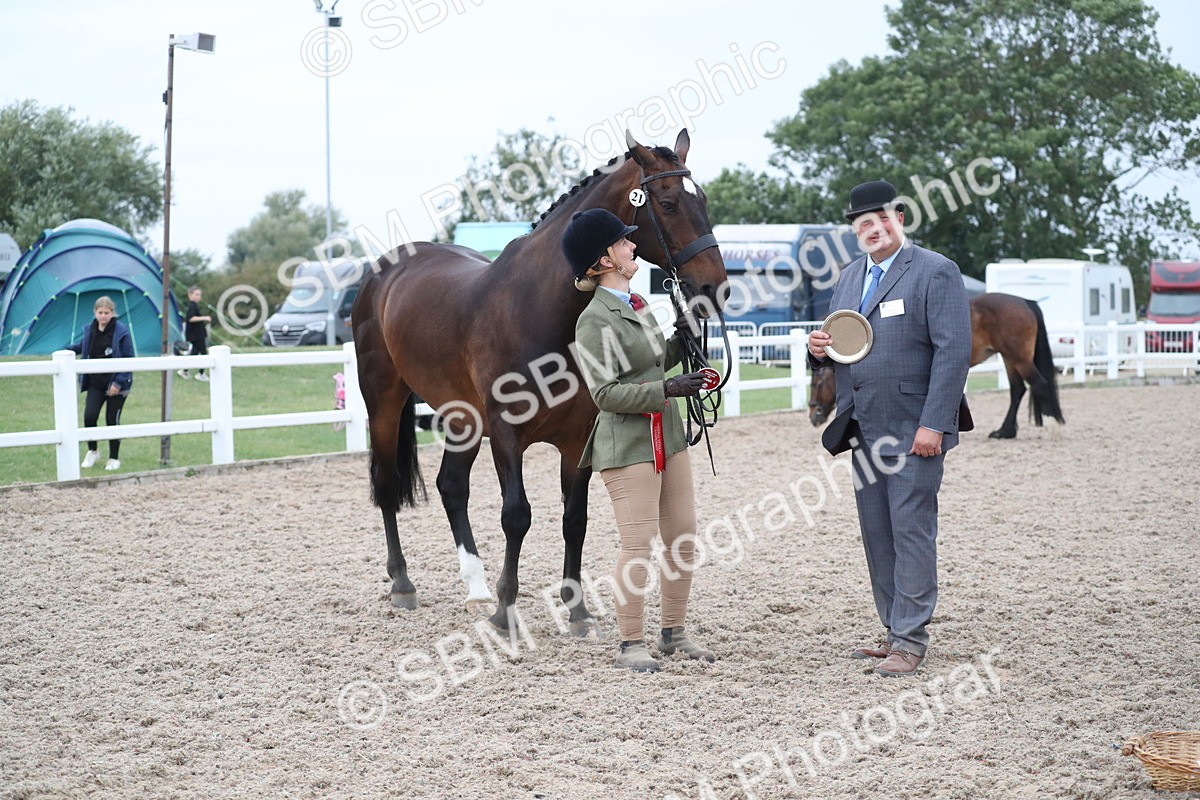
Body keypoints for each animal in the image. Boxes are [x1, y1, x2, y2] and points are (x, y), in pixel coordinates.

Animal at [352, 129, 729, 637]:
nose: (715, 288)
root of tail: (383, 270)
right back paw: (403, 583)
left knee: (452, 486)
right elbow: (517, 516)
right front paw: (505, 612)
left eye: (702, 200)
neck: (537, 308)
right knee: (388, 481)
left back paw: (475, 587)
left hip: (461, 418)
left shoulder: (577, 438)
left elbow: (575, 519)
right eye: (668, 204)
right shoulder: (506, 433)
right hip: (384, 400)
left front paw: (577, 611)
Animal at [808, 292, 1065, 438]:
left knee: (1039, 384)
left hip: (1018, 358)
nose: (813, 416)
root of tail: (1025, 302)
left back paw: (1053, 428)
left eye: (816, 384)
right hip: (1009, 358)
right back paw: (1004, 432)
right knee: (1017, 390)